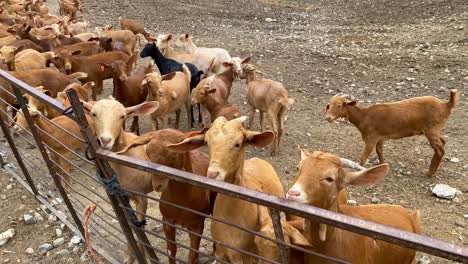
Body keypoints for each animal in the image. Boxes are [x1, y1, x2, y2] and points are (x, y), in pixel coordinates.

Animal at [168, 117, 284, 264]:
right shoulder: (221, 254)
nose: (213, 174)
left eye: (238, 144)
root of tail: (258, 159)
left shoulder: (248, 256)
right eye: (207, 142)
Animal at [326, 89, 460, 176]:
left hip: (432, 130)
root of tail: (446, 104)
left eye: (339, 105)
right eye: (329, 105)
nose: (328, 118)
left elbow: (364, 157)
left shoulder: (371, 138)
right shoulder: (379, 138)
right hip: (435, 130)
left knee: (440, 150)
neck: (364, 116)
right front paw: (382, 166)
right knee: (443, 143)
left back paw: (430, 173)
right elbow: (379, 152)